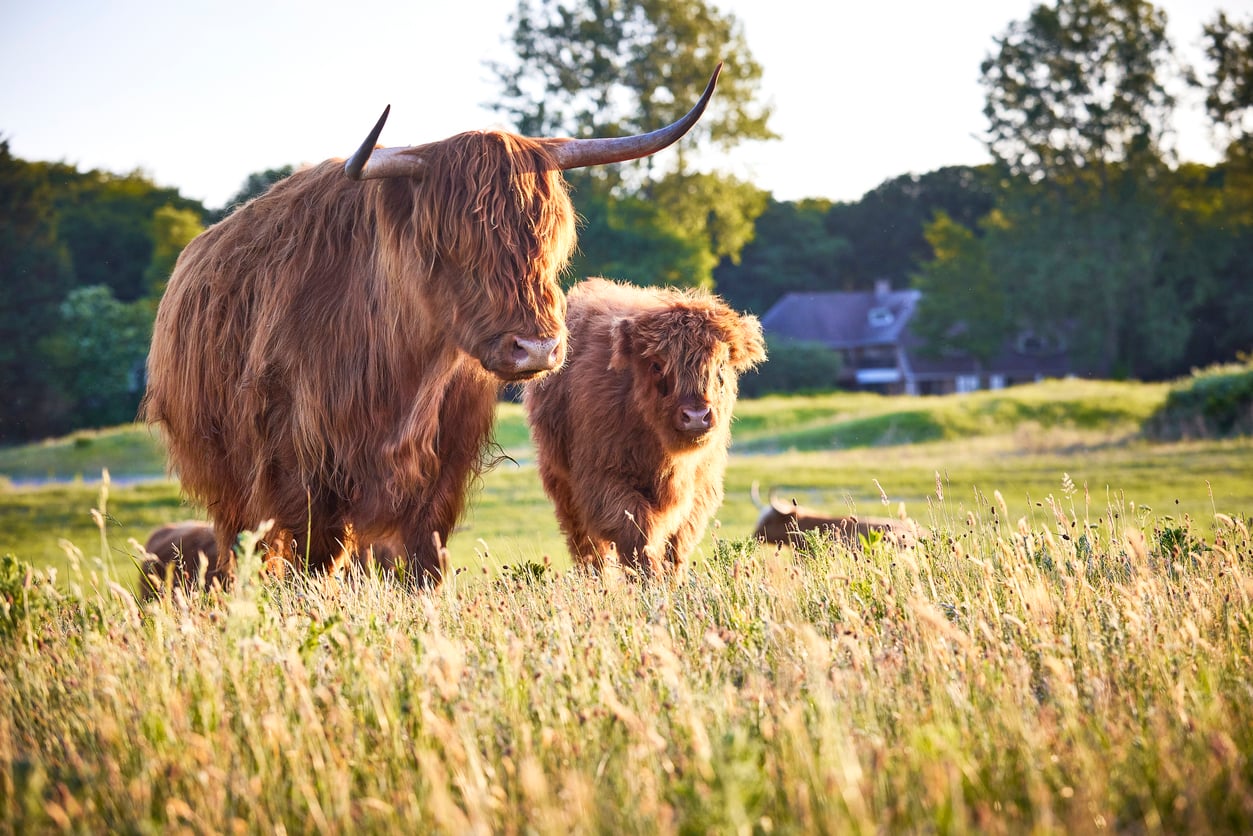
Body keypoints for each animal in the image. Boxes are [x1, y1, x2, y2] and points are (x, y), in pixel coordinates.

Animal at [141, 66, 722, 588]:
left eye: (551, 239)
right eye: (454, 246)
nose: (536, 348)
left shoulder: (441, 473)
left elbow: (426, 565)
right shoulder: (302, 472)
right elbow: (313, 563)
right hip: (227, 478)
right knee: (240, 551)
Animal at [523, 278, 766, 576]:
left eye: (721, 365)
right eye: (657, 365)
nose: (696, 416)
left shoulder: (699, 488)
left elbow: (676, 544)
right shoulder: (605, 481)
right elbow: (638, 534)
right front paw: (649, 579)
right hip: (563, 485)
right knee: (589, 549)